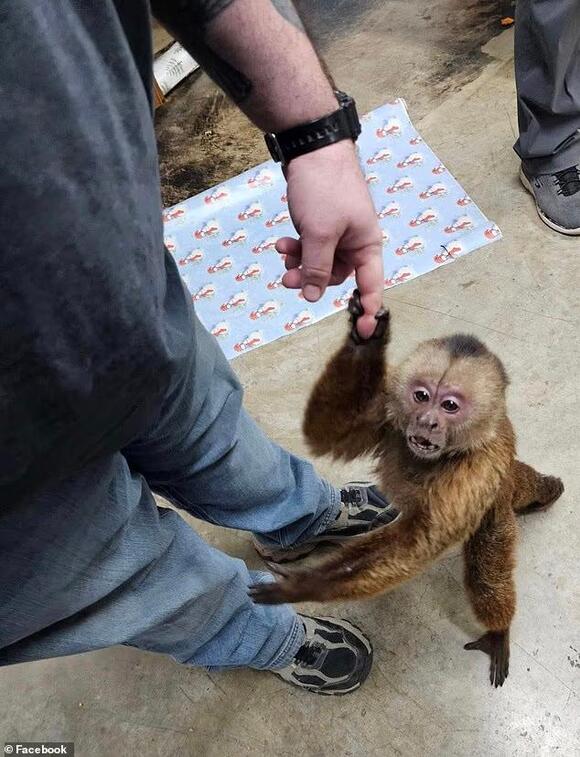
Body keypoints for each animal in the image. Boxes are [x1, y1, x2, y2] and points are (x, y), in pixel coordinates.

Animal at [250, 290, 564, 687]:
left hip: (495, 504)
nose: (427, 421)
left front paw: (311, 585)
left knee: (485, 570)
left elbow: (416, 544)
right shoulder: (389, 413)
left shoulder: (476, 471)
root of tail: (509, 479)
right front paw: (367, 336)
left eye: (449, 405)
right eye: (421, 396)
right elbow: (325, 434)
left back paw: (499, 630)